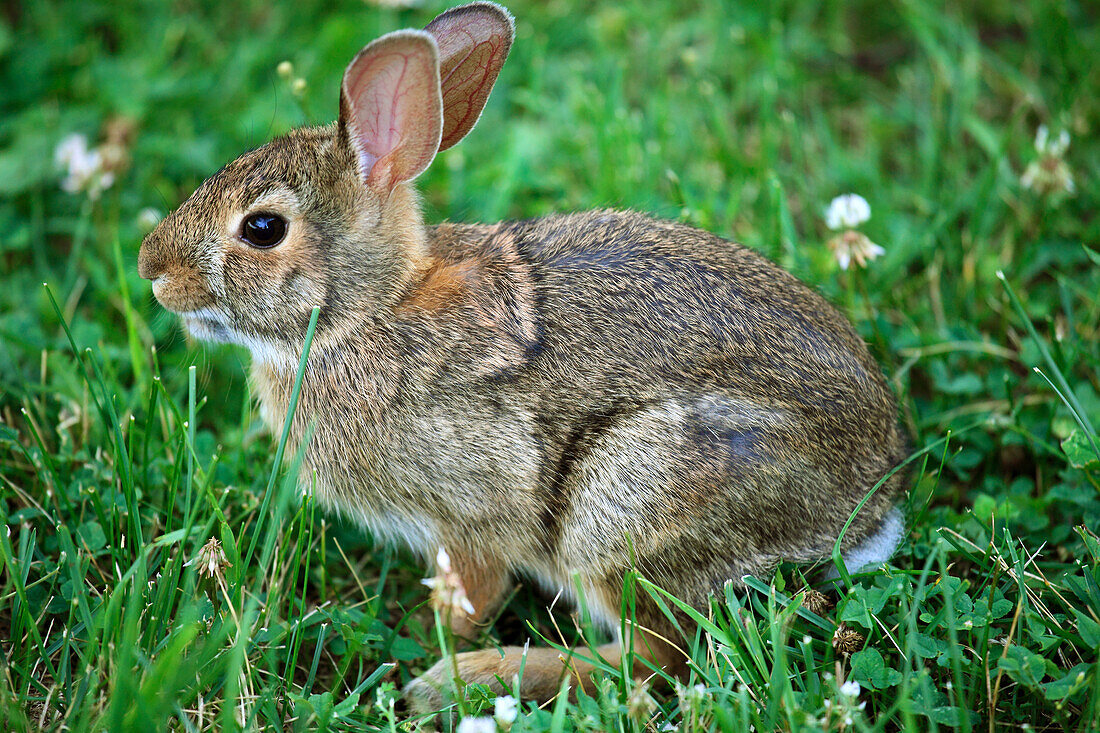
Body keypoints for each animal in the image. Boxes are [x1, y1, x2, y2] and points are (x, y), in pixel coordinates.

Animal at [137, 0, 906, 708]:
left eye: (263, 229)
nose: (152, 268)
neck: (370, 310)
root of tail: (871, 504)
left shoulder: (467, 517)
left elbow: (470, 594)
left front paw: (434, 643)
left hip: (624, 503)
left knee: (655, 661)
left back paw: (476, 677)